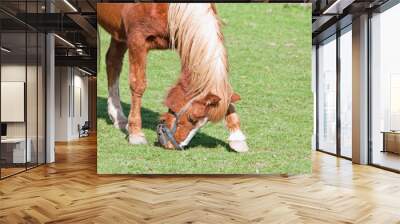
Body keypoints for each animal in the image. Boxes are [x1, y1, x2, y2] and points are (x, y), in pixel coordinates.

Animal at [97, 3, 247, 152]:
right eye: (192, 118)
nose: (173, 145)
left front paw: (237, 138)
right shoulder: (136, 40)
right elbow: (138, 84)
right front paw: (135, 132)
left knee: (113, 61)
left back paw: (118, 117)